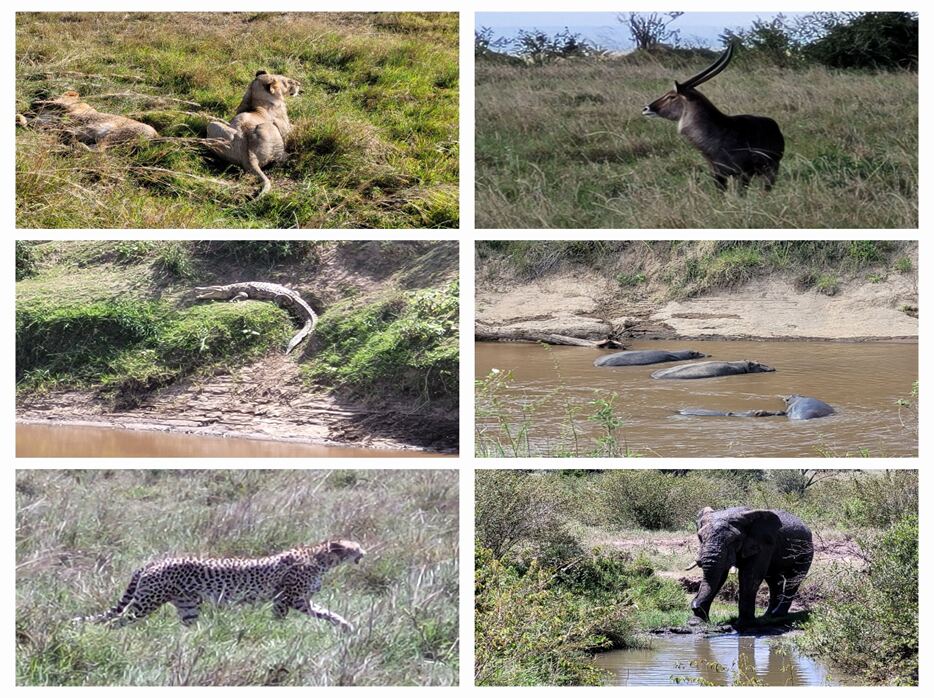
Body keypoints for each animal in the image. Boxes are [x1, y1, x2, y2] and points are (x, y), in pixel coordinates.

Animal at [74, 539, 365, 631]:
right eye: (355, 547)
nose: (364, 553)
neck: (322, 559)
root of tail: (154, 561)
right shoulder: (287, 599)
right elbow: (280, 619)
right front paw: (277, 634)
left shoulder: (301, 600)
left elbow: (326, 613)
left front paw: (346, 626)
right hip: (146, 601)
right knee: (117, 620)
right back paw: (111, 637)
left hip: (188, 605)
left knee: (189, 627)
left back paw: (197, 641)